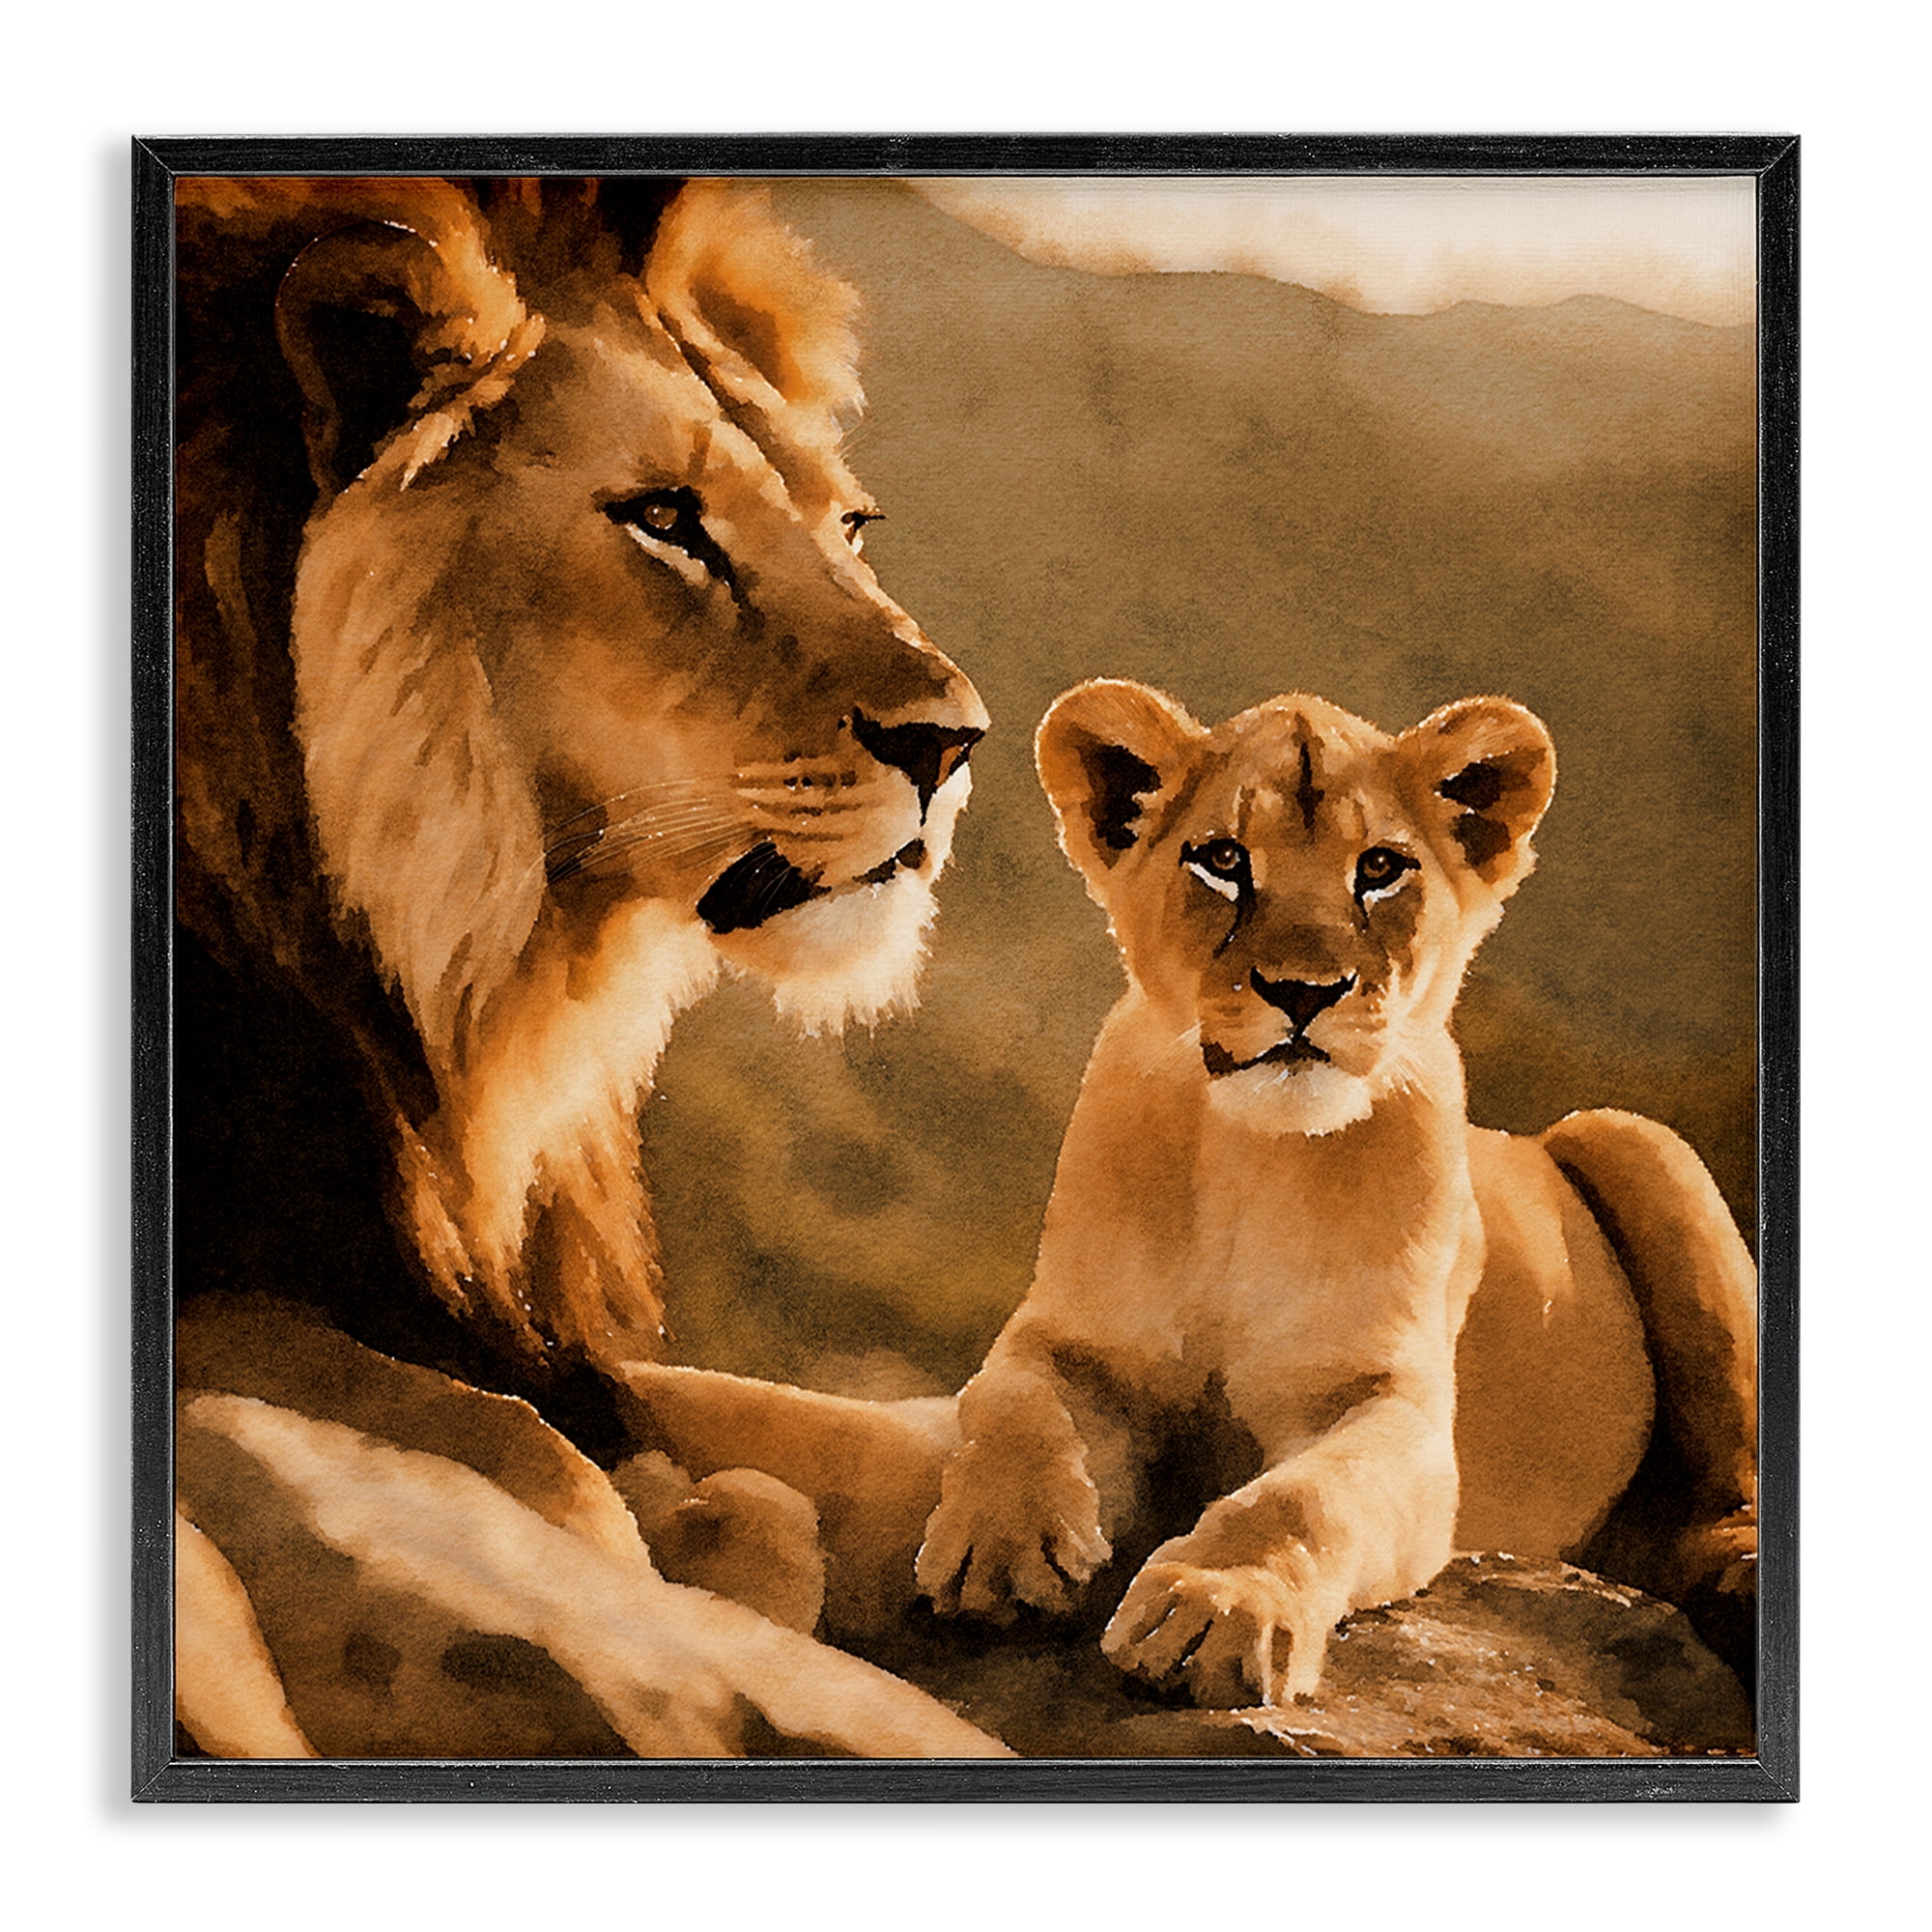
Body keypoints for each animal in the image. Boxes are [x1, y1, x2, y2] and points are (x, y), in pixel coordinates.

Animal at [170, 176, 998, 1757]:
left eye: (850, 523)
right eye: (665, 520)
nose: (953, 742)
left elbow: (845, 1434)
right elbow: (542, 1468)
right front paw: (696, 1565)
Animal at [903, 680, 1758, 1708]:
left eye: (1380, 868)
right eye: (1224, 860)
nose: (1304, 990)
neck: (1254, 1160)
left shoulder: (1396, 1409)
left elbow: (1300, 1497)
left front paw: (1214, 1608)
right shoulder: (1069, 1335)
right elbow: (1012, 1406)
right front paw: (1000, 1545)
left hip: (1635, 1138)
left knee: (1733, 1485)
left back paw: (1737, 1571)